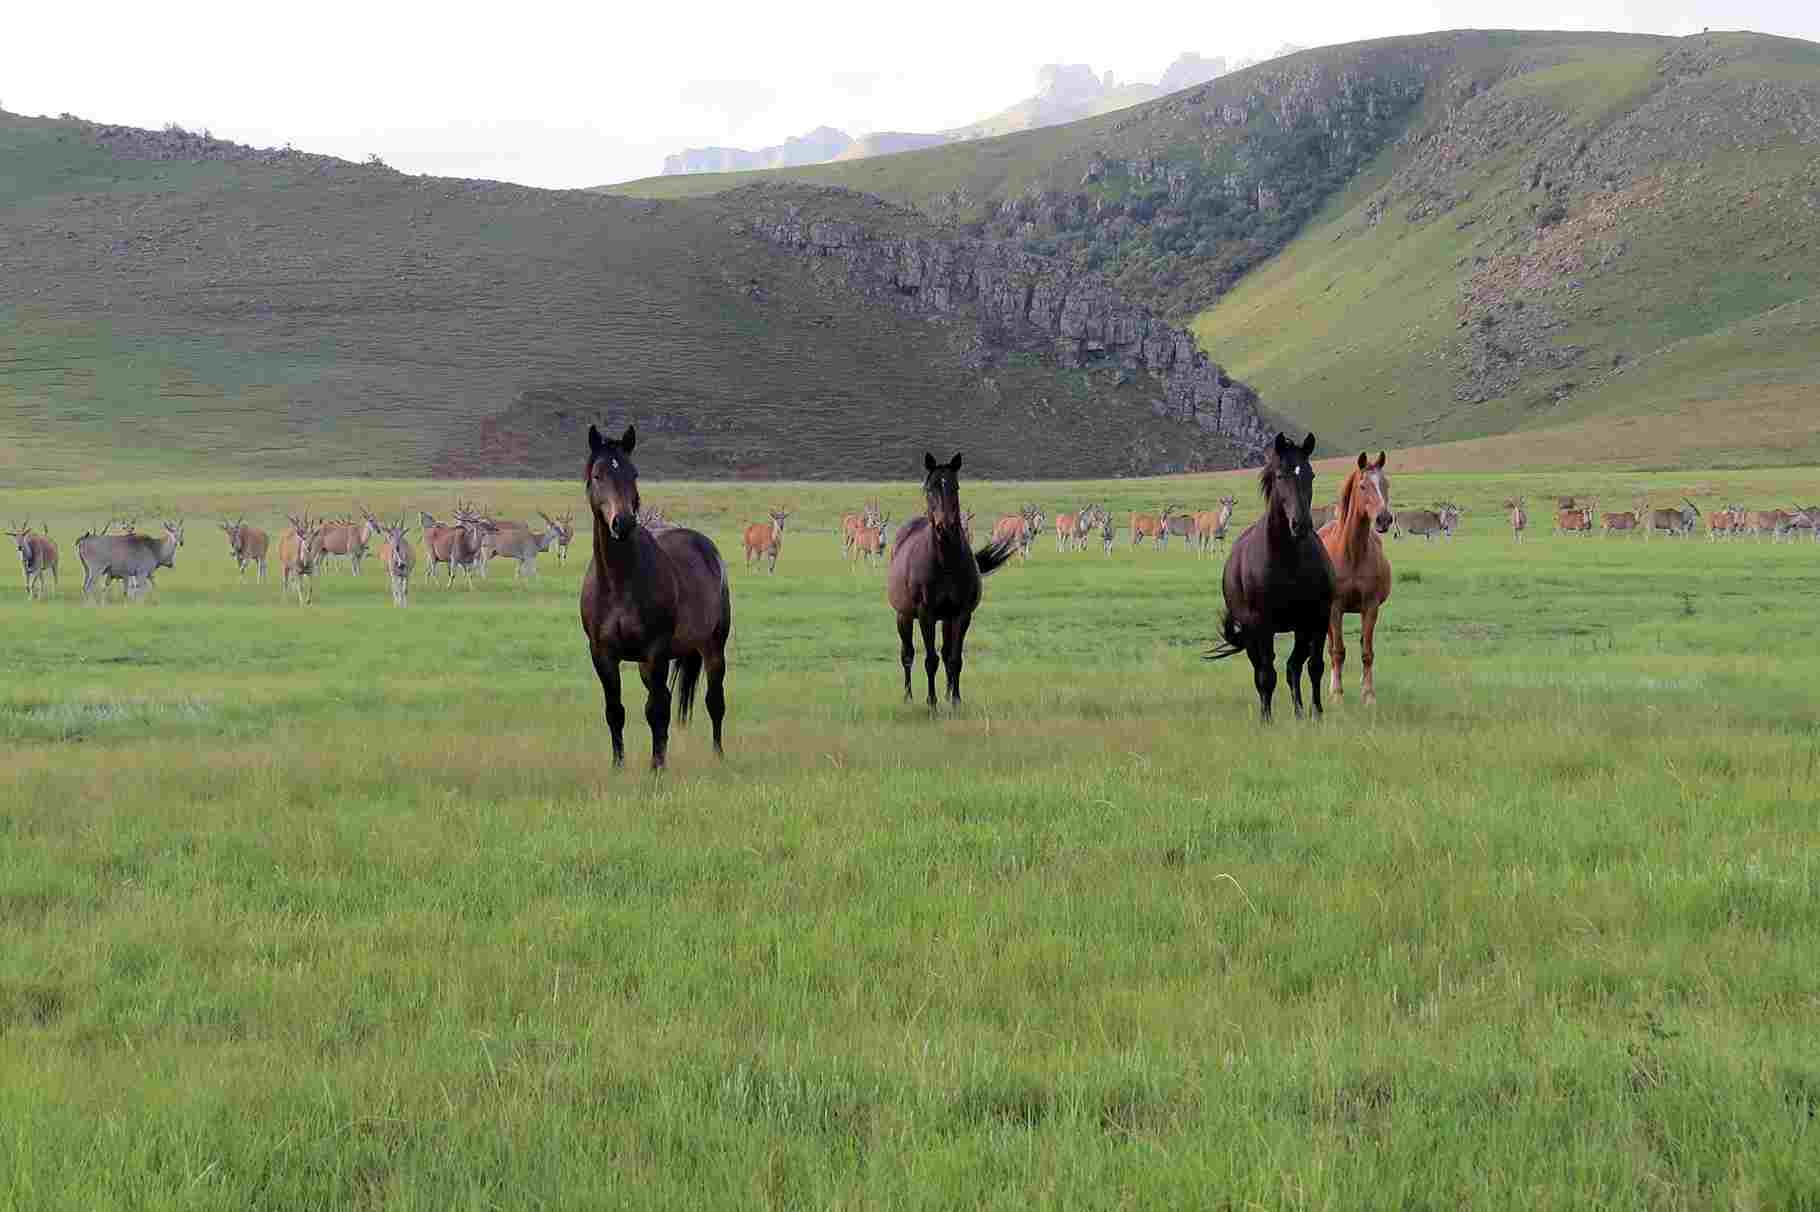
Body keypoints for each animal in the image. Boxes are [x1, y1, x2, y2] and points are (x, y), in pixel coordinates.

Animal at [580, 424, 732, 770]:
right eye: (597, 475)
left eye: (633, 473)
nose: (623, 522)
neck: (619, 582)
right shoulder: (602, 654)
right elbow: (615, 711)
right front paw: (618, 766)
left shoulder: (656, 650)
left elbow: (657, 711)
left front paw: (657, 767)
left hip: (713, 647)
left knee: (714, 702)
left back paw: (718, 755)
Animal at [887, 452, 1018, 711]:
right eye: (930, 488)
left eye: (955, 486)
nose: (945, 525)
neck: (945, 562)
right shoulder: (926, 615)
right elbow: (930, 660)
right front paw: (932, 702)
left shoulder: (961, 614)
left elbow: (954, 659)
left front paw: (955, 700)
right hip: (904, 616)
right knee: (907, 654)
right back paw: (908, 696)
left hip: (946, 619)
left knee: (946, 653)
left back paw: (947, 694)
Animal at [1206, 432, 1333, 721]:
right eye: (1280, 475)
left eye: (1310, 474)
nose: (1301, 524)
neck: (1286, 560)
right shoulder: (1261, 625)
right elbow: (1266, 676)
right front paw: (1266, 720)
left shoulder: (1316, 619)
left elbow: (1315, 667)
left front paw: (1317, 714)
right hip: (1253, 632)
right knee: (1264, 670)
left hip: (1301, 629)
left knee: (1293, 666)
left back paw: (1299, 712)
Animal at [1318, 452, 1394, 705]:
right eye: (1363, 486)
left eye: (1385, 484)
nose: (1384, 519)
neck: (1352, 553)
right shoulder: (1335, 608)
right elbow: (1338, 651)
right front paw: (1337, 694)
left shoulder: (1370, 607)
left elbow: (1367, 652)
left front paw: (1368, 694)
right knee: (1331, 646)